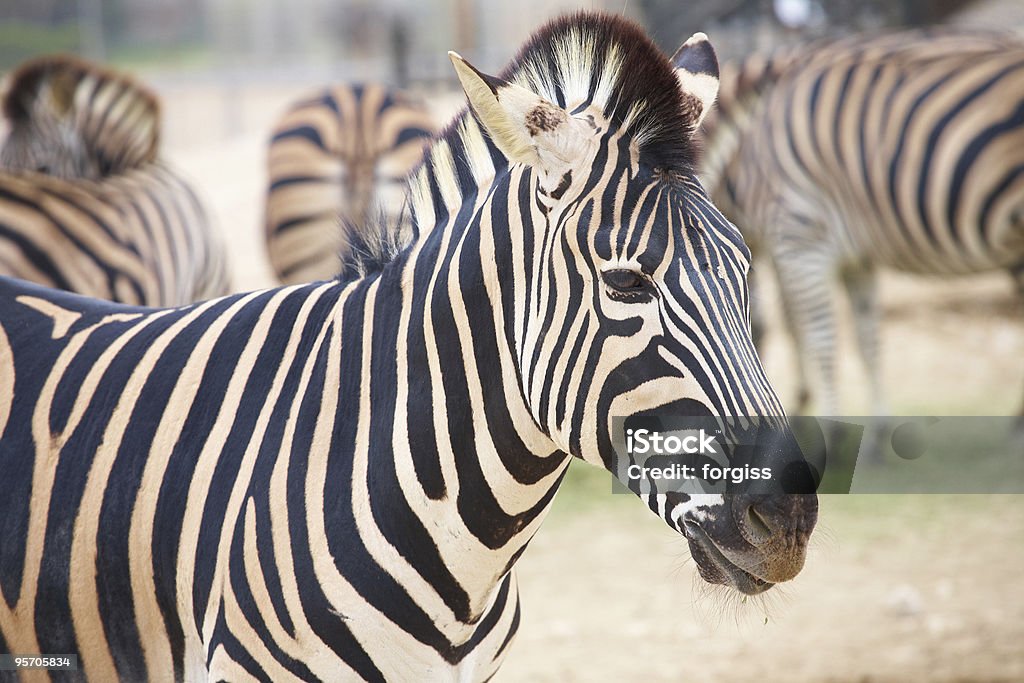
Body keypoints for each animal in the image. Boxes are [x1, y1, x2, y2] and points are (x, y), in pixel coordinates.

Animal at [696, 28, 1024, 438]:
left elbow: (813, 335)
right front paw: (874, 434)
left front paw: (827, 431)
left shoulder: (800, 237)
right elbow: (867, 340)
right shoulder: (852, 257)